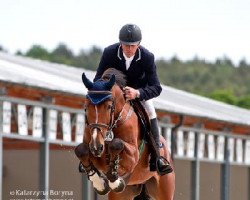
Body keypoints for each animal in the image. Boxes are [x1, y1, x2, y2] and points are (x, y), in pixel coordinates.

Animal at [75, 68, 175, 199]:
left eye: (109, 107)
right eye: (86, 106)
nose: (96, 146)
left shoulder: (133, 155)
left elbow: (117, 144)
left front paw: (115, 180)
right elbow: (81, 150)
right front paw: (100, 184)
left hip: (165, 189)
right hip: (123, 194)